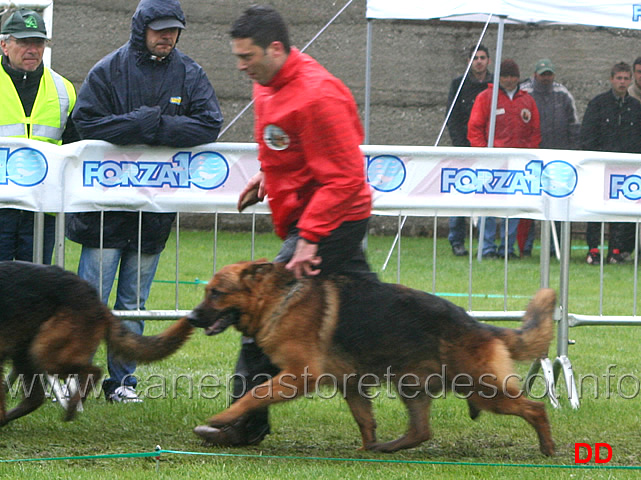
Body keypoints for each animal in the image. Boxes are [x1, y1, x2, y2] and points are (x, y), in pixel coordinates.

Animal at [0, 260, 192, 426]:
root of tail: (95, 299)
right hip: (28, 354)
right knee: (35, 398)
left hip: (44, 351)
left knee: (93, 371)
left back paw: (72, 406)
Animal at [186, 260, 556, 456]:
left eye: (216, 293)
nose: (190, 318)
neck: (278, 299)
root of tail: (480, 326)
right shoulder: (350, 385)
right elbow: (365, 420)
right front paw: (367, 447)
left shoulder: (298, 376)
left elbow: (254, 394)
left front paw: (223, 417)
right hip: (415, 389)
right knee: (420, 431)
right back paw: (386, 449)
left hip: (483, 390)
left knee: (535, 408)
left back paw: (548, 448)